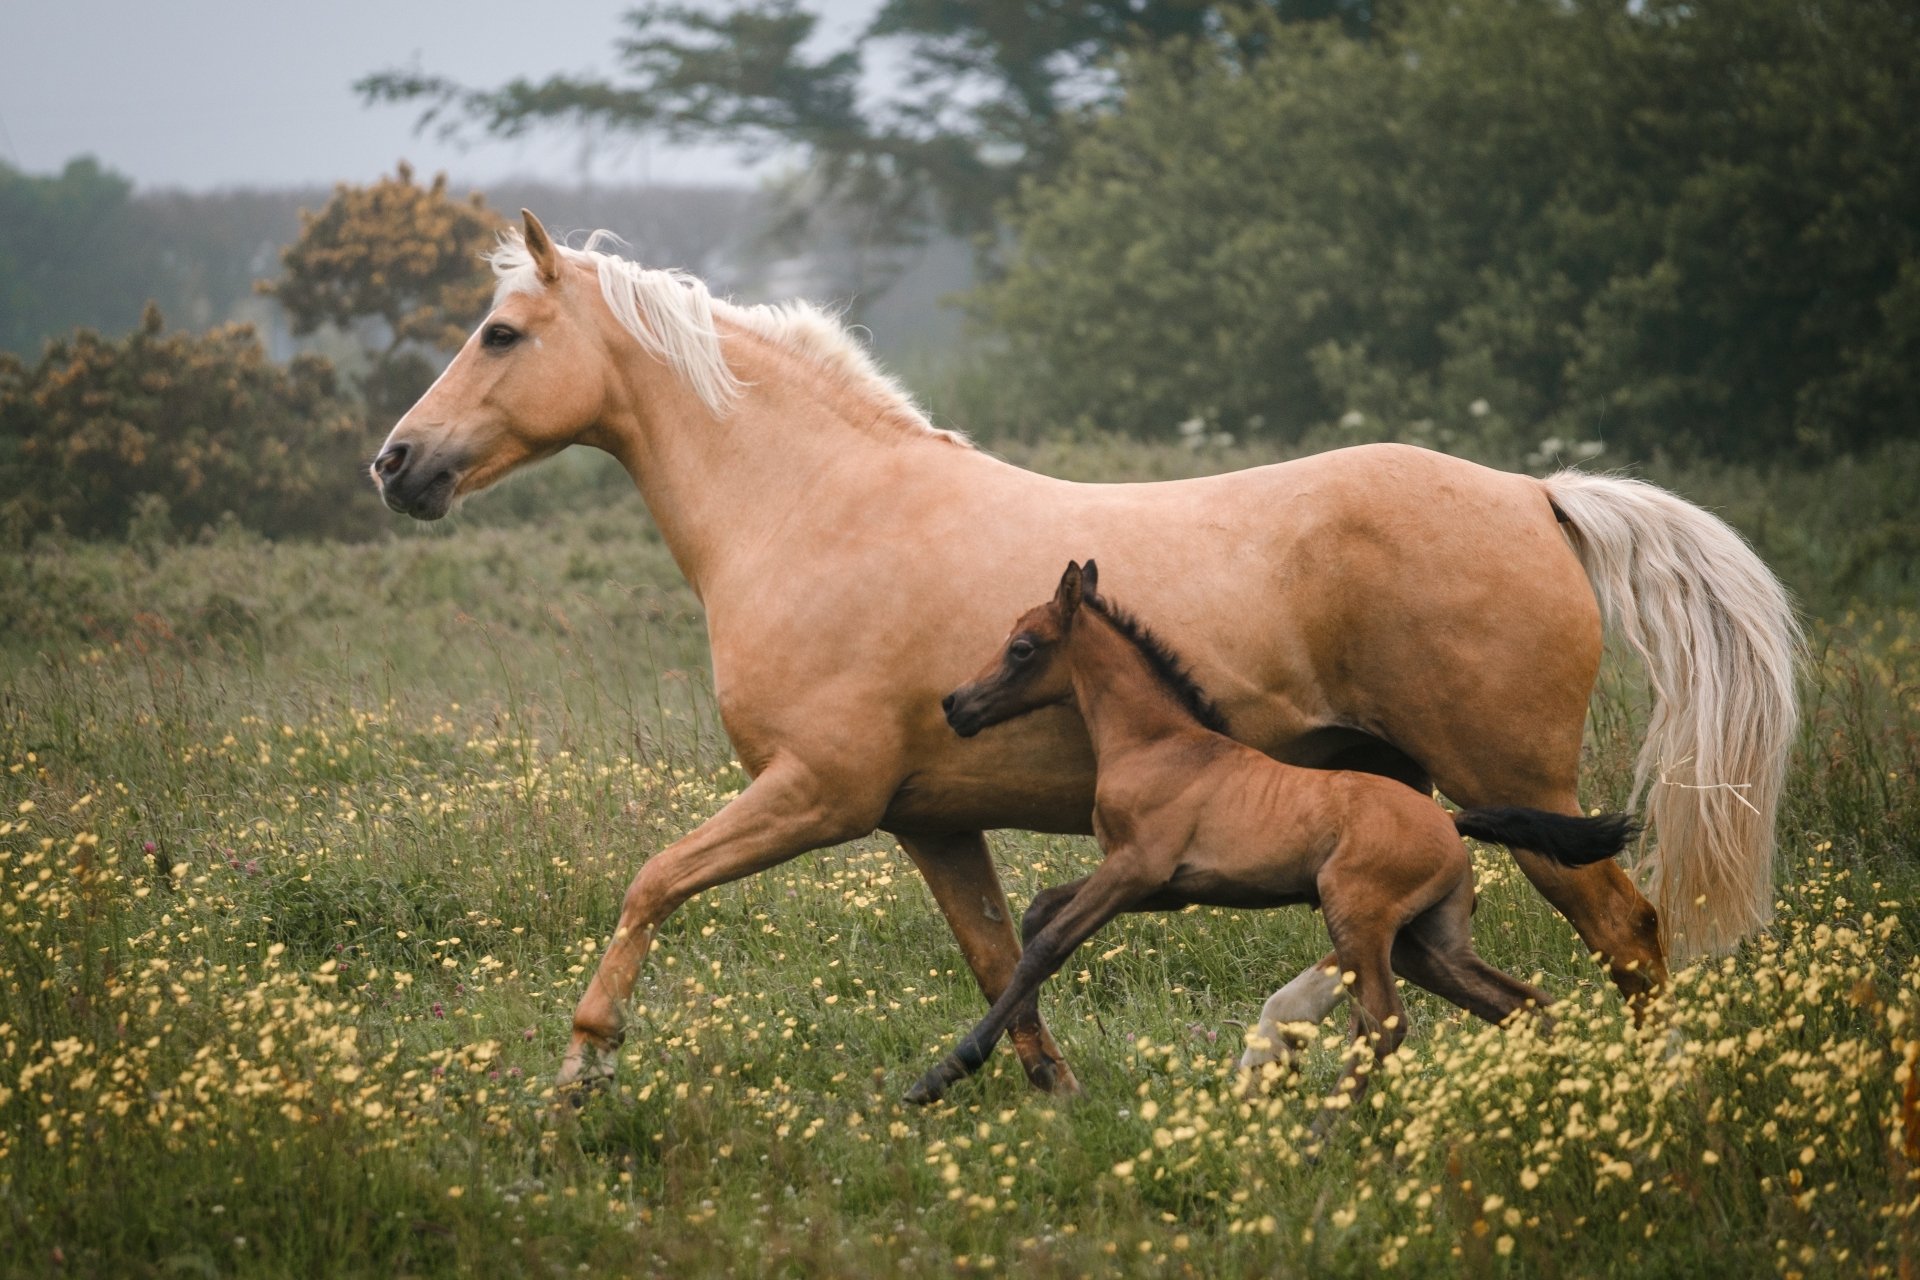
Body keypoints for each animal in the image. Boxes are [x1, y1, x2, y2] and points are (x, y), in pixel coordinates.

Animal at [907, 560, 1637, 1108]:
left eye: (1022, 647)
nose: (955, 704)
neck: (1157, 745)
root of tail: (1447, 820)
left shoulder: (1137, 868)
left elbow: (1047, 945)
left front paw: (942, 1071)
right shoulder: (1159, 885)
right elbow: (1037, 913)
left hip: (1360, 918)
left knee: (1387, 1023)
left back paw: (1322, 1138)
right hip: (1424, 942)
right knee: (1522, 1004)